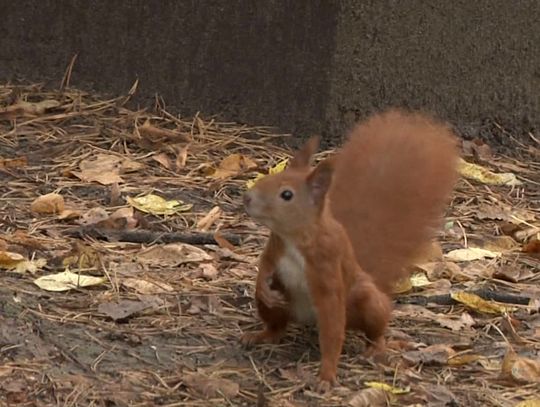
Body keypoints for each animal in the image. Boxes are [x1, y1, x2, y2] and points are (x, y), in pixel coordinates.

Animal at [243, 108, 458, 392]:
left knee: (373, 328)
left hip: (367, 301)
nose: (247, 198)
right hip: (280, 304)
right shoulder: (275, 247)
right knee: (277, 325)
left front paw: (326, 375)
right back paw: (261, 335)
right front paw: (262, 287)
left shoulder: (328, 265)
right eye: (269, 177)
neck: (295, 239)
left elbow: (333, 325)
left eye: (286, 195)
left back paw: (375, 348)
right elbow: (264, 265)